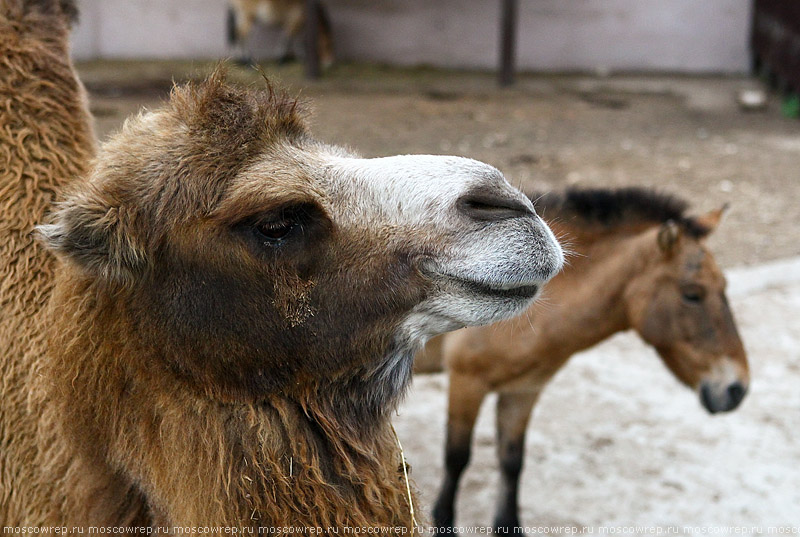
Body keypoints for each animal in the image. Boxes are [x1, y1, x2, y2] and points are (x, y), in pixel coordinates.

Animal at [424, 186, 752, 528]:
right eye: (692, 294)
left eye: (724, 286)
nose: (736, 389)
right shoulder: (467, 383)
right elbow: (457, 458)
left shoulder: (524, 390)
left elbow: (512, 461)